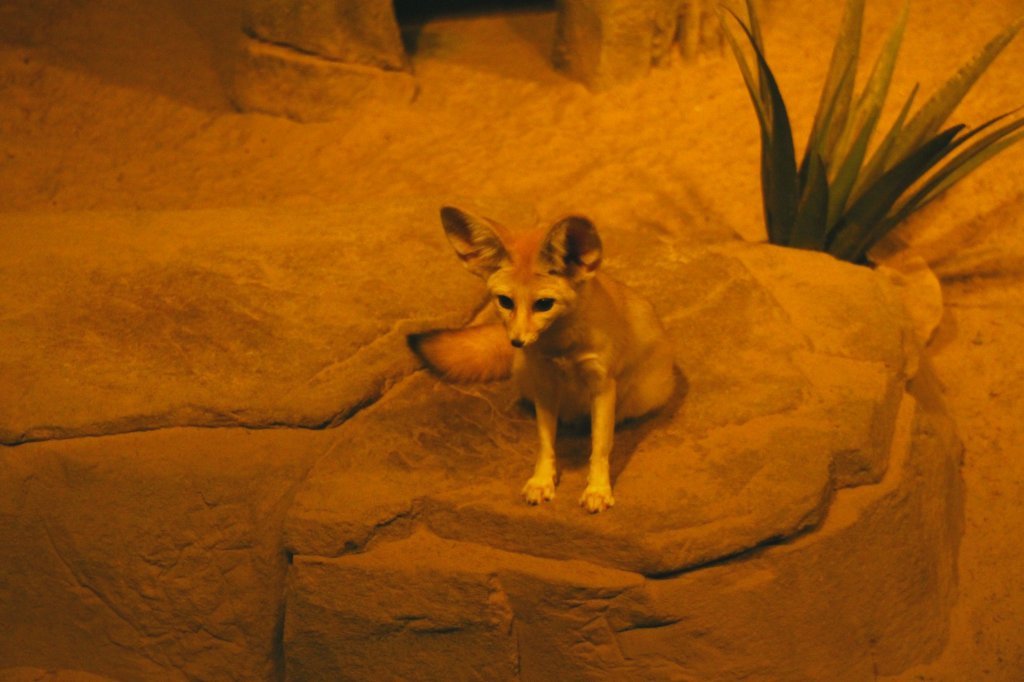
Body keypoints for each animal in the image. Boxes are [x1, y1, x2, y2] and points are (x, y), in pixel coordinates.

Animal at [403, 206, 675, 509]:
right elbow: (545, 443)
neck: (563, 349)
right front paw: (543, 480)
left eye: (544, 304)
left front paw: (597, 488)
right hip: (527, 379)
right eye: (505, 302)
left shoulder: (602, 385)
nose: (517, 341)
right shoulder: (544, 384)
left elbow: (600, 446)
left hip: (643, 397)